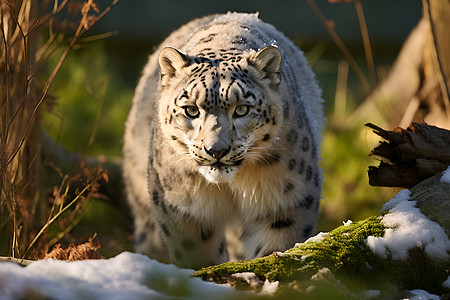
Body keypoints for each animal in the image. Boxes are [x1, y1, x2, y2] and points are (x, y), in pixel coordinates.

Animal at [123, 12, 324, 270]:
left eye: (242, 109)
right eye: (191, 110)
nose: (216, 150)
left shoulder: (285, 201)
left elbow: (276, 248)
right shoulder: (184, 207)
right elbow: (198, 253)